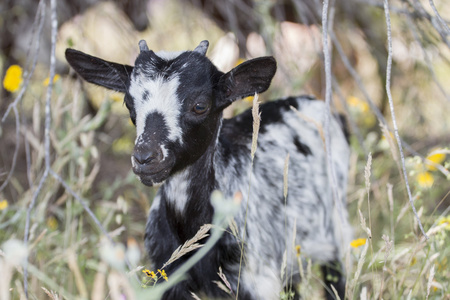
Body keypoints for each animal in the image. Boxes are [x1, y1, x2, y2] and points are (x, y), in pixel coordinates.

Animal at [65, 40, 352, 300]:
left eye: (200, 105)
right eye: (128, 103)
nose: (145, 158)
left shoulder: (254, 282)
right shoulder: (168, 279)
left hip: (337, 230)